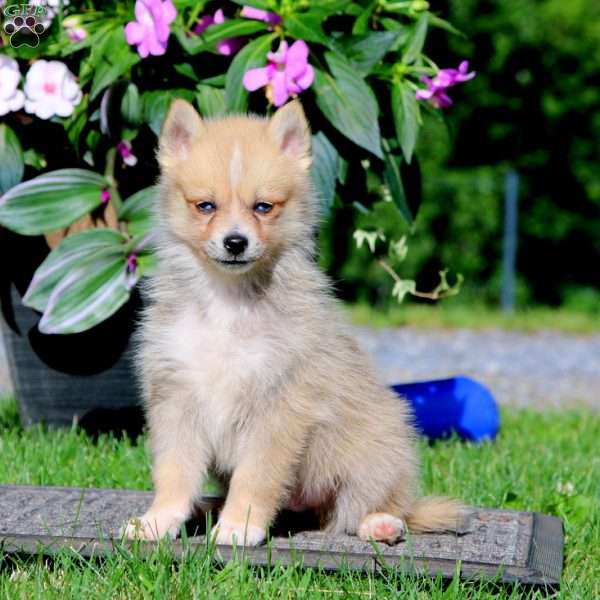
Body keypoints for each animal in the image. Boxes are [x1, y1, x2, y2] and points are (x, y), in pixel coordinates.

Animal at [123, 99, 464, 548]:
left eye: (263, 207)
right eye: (206, 206)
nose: (236, 242)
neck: (228, 300)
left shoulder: (278, 407)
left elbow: (256, 476)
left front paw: (240, 526)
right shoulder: (176, 397)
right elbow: (174, 472)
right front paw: (159, 521)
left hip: (377, 449)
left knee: (367, 507)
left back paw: (380, 524)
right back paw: (207, 507)